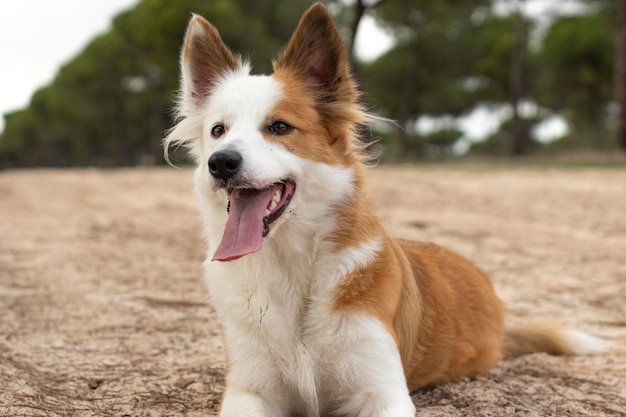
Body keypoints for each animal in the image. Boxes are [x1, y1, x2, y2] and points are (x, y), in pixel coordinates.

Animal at [163, 4, 608, 416]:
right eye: (218, 131)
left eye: (279, 127)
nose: (220, 162)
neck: (291, 268)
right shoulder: (249, 391)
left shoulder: (381, 392)